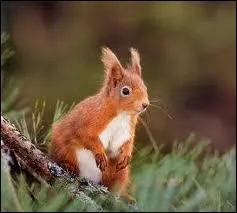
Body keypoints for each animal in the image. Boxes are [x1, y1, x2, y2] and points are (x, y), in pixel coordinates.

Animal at [49, 47, 149, 202]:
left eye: (145, 87)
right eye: (125, 91)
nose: (145, 104)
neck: (122, 115)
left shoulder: (127, 130)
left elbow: (127, 143)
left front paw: (126, 154)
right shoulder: (90, 120)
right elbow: (88, 136)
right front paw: (100, 153)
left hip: (119, 172)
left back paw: (123, 196)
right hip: (64, 149)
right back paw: (67, 166)